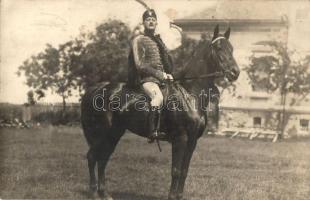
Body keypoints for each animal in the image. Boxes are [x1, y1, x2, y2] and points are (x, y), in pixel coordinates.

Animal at [80, 25, 240, 200]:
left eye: (231, 48)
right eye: (218, 48)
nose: (235, 72)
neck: (189, 93)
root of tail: (97, 88)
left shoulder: (192, 141)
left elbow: (184, 171)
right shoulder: (180, 139)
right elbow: (176, 171)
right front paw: (172, 196)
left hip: (115, 133)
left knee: (103, 159)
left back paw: (104, 193)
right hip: (104, 133)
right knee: (92, 157)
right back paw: (93, 193)